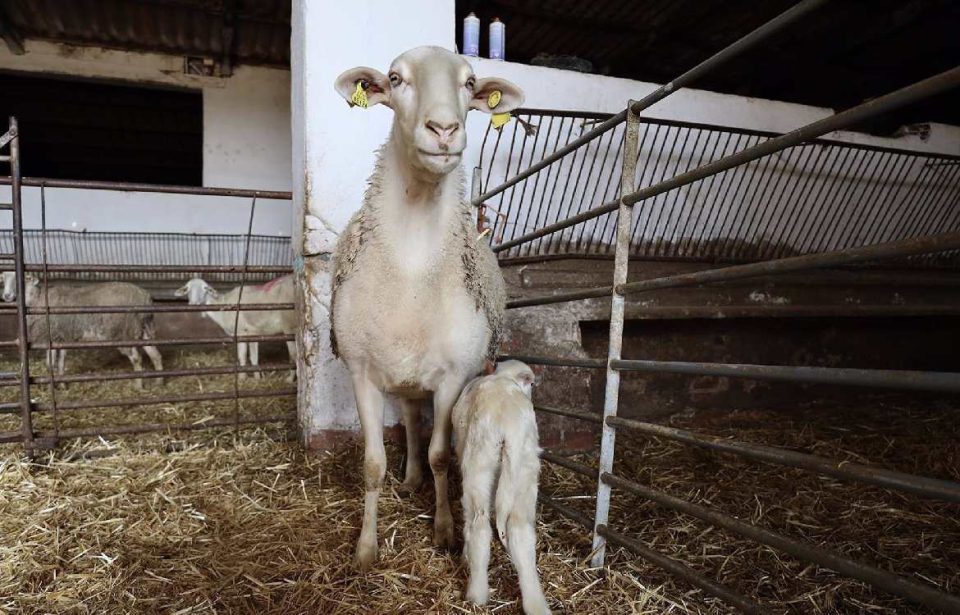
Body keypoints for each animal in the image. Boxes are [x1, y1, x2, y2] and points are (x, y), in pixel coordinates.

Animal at [2, 272, 163, 388]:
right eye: (3, 280)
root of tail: (144, 297)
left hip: (122, 332)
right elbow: (61, 363)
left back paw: (138, 385)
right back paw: (159, 382)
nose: (6, 295)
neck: (37, 299)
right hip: (144, 329)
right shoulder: (61, 337)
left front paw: (50, 387)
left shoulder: (50, 336)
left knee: (137, 358)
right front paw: (63, 385)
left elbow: (50, 364)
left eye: (24, 279)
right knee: (155, 354)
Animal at [330, 45, 524, 572]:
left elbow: (441, 455)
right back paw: (410, 477)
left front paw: (443, 531)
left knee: (421, 432)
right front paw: (365, 549)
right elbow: (372, 464)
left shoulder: (453, 376)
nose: (443, 129)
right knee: (410, 426)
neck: (413, 268)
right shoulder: (361, 372)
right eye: (396, 79)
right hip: (401, 379)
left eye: (470, 82)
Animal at [454, 360, 552, 615]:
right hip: (526, 469)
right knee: (520, 530)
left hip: (478, 464)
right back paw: (536, 603)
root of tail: (508, 429)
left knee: (478, 525)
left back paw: (476, 594)